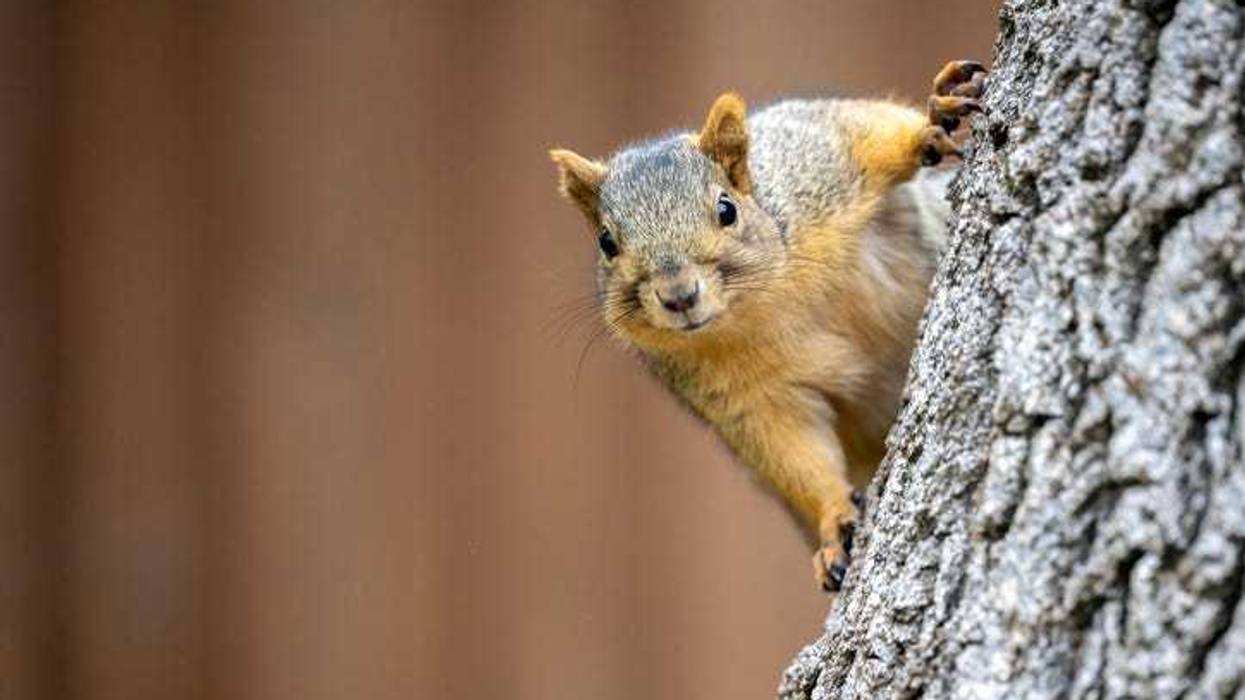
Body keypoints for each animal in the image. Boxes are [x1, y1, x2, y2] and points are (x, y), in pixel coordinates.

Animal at [550, 61, 986, 592]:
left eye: (726, 208)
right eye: (607, 242)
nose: (679, 296)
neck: (762, 303)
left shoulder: (817, 158)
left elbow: (872, 132)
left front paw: (934, 118)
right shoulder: (747, 400)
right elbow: (795, 455)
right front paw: (836, 524)